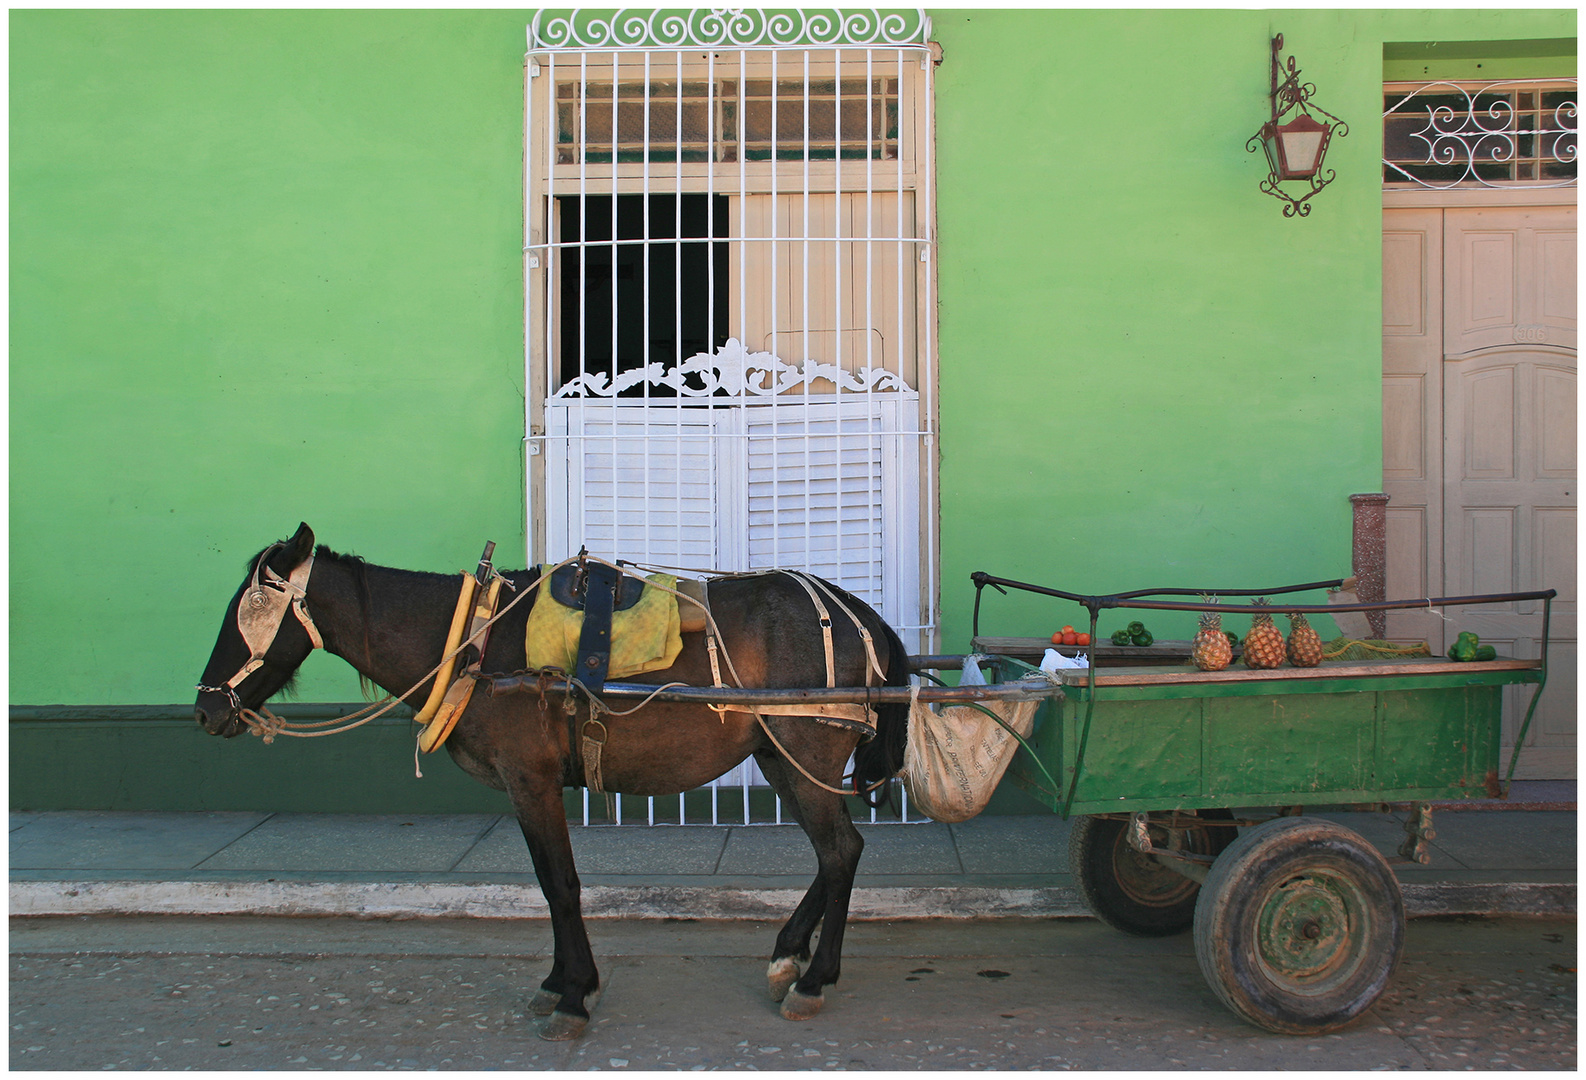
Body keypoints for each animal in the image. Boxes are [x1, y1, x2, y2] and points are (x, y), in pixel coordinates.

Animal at [196, 523, 913, 1034]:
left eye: (247, 611)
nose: (205, 708)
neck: (471, 643)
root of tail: (859, 612)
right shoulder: (528, 784)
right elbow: (550, 884)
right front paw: (561, 982)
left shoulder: (531, 778)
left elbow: (559, 884)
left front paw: (573, 995)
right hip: (778, 755)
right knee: (834, 853)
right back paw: (789, 953)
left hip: (806, 749)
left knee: (841, 851)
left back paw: (814, 980)